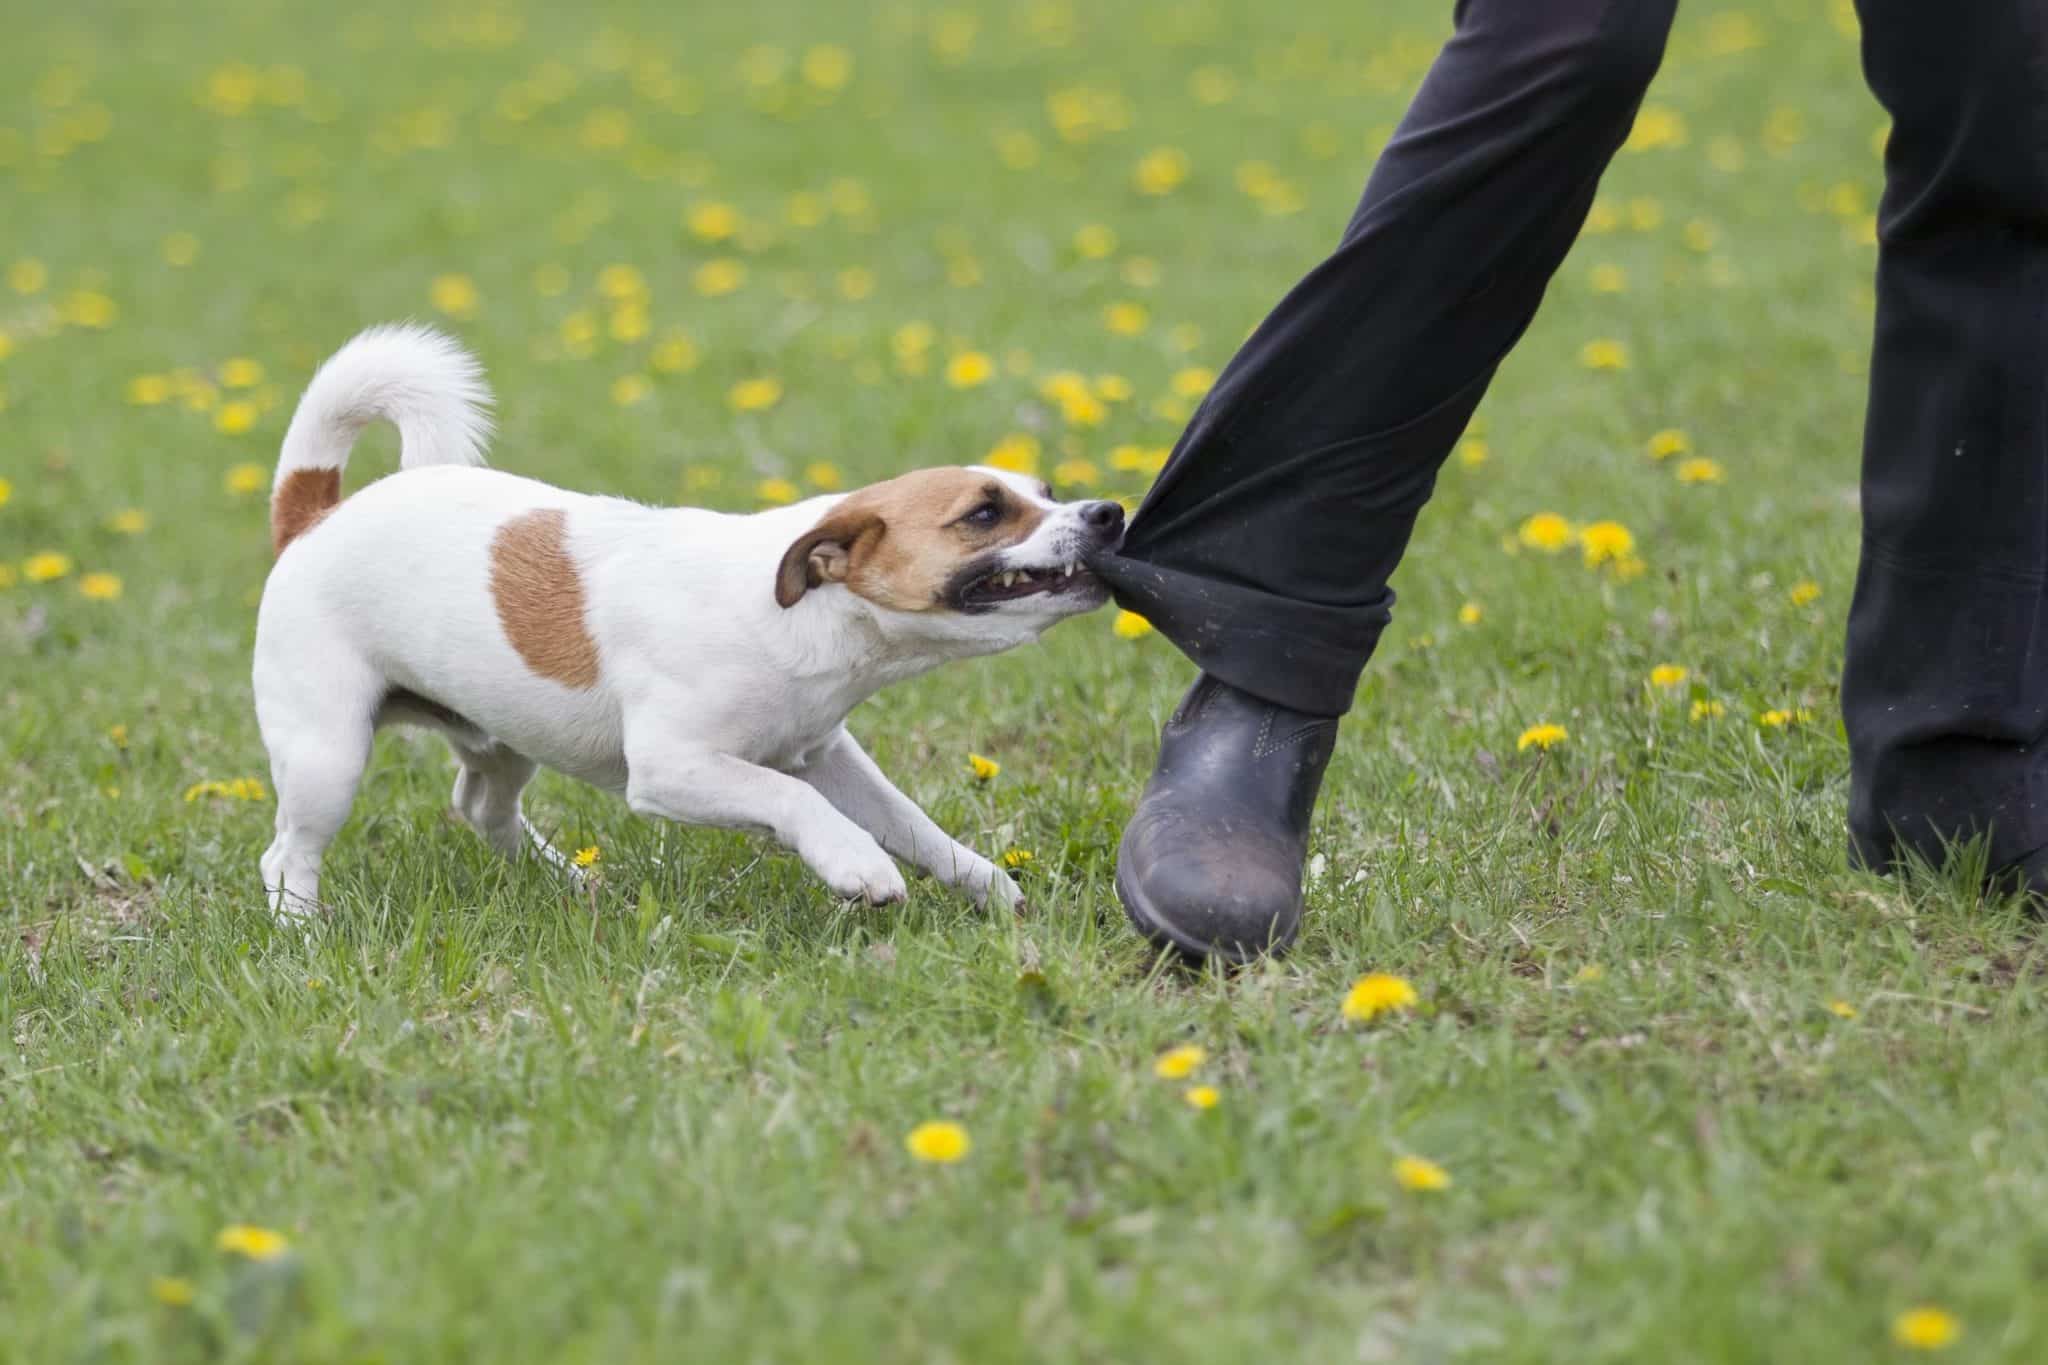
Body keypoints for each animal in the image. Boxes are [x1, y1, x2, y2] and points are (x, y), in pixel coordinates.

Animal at [258, 323, 1130, 916]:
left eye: (1046, 491)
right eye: (984, 513)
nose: (1109, 513)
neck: (797, 617)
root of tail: (313, 515)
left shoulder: (827, 755)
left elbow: (911, 822)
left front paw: (987, 884)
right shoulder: (675, 768)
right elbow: (790, 801)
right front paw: (855, 863)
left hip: (503, 737)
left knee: (481, 808)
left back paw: (568, 881)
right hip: (327, 755)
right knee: (286, 853)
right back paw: (303, 933)